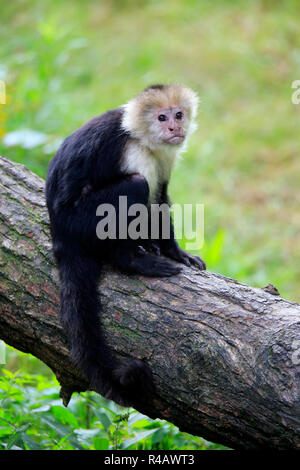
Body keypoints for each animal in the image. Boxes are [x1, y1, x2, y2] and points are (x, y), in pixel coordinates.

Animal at [45, 82, 206, 406]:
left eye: (178, 114)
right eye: (161, 118)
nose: (174, 128)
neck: (143, 138)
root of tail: (60, 234)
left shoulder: (165, 156)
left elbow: (159, 197)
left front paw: (175, 252)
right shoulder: (132, 151)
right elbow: (142, 192)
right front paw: (141, 254)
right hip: (78, 221)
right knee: (134, 186)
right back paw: (130, 259)